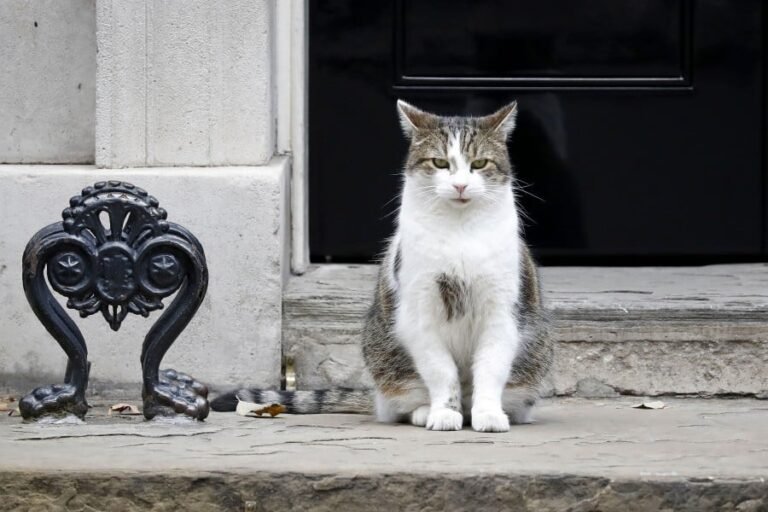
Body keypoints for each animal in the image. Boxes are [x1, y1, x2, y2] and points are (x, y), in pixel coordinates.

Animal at [210, 100, 552, 432]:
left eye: (479, 164)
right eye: (440, 163)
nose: (460, 186)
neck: (460, 232)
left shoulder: (502, 312)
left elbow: (491, 369)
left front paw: (489, 414)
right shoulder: (418, 311)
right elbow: (441, 371)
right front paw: (443, 413)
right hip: (385, 355)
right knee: (398, 404)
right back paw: (425, 412)